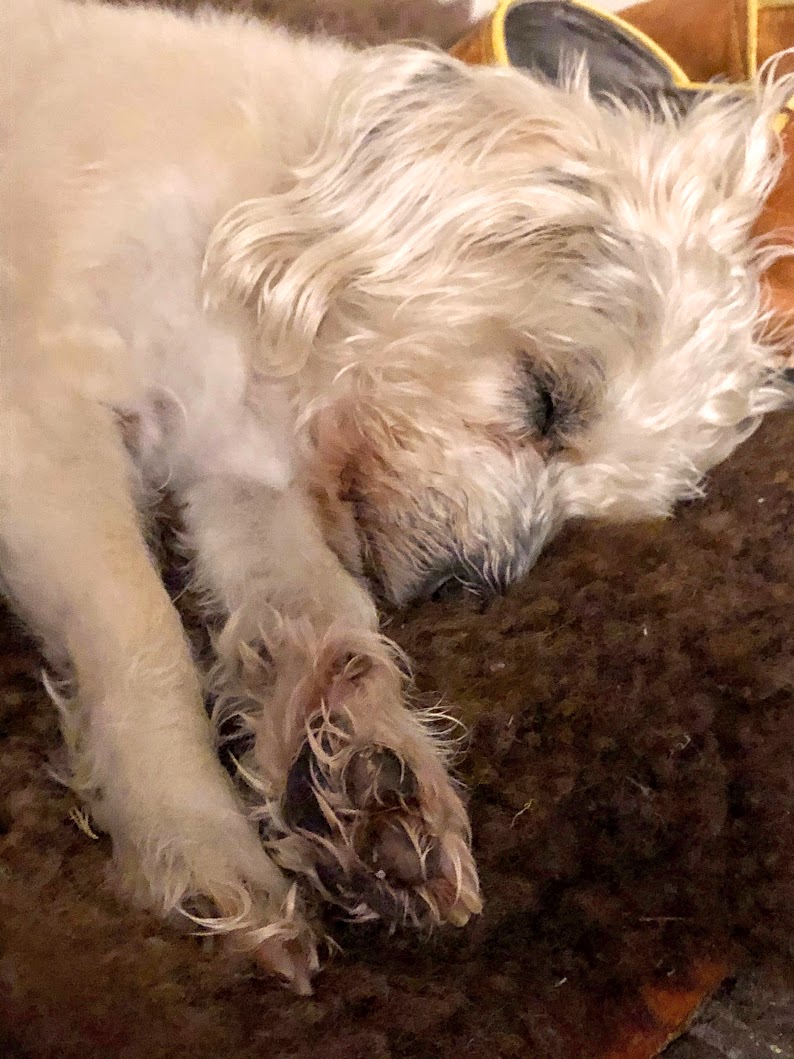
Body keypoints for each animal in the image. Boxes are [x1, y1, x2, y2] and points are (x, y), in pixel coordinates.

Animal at [1, 0, 794, 991]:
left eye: (587, 517)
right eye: (546, 400)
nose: (474, 585)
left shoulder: (239, 478)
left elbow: (320, 612)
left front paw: (362, 773)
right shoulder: (43, 430)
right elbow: (145, 636)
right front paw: (194, 841)